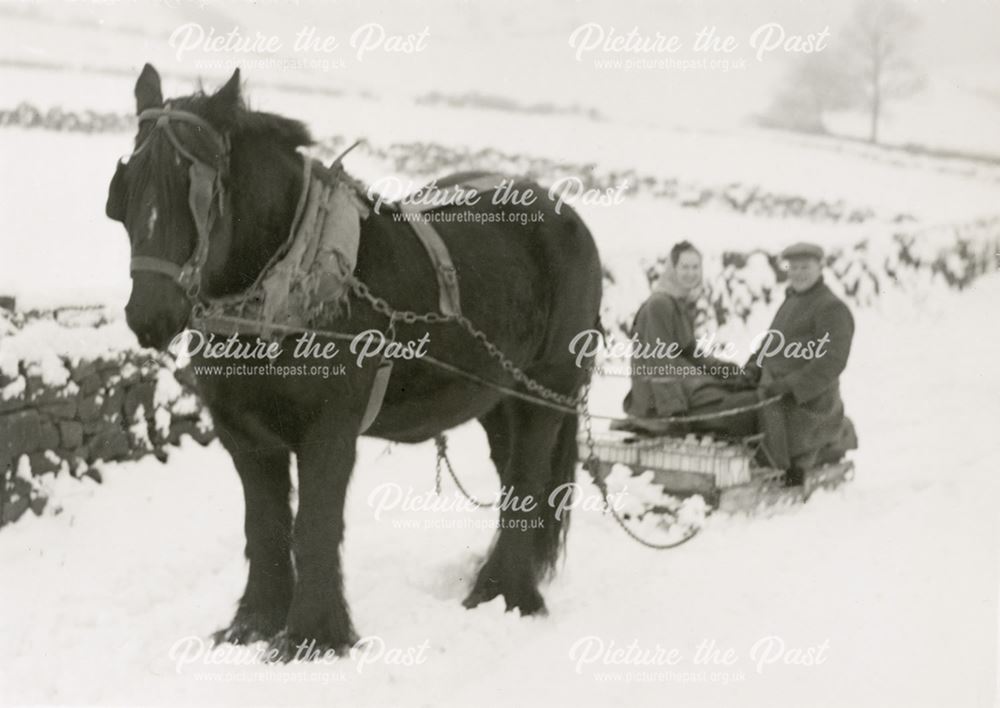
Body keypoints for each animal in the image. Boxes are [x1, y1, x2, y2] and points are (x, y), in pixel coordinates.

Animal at [103, 65, 600, 652]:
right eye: (127, 187)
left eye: (195, 187)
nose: (150, 315)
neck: (286, 285)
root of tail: (567, 217)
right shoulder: (244, 435)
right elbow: (265, 527)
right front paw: (253, 624)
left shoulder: (330, 428)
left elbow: (314, 525)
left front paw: (312, 637)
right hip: (494, 398)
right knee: (512, 478)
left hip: (547, 388)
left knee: (527, 480)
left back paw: (505, 593)